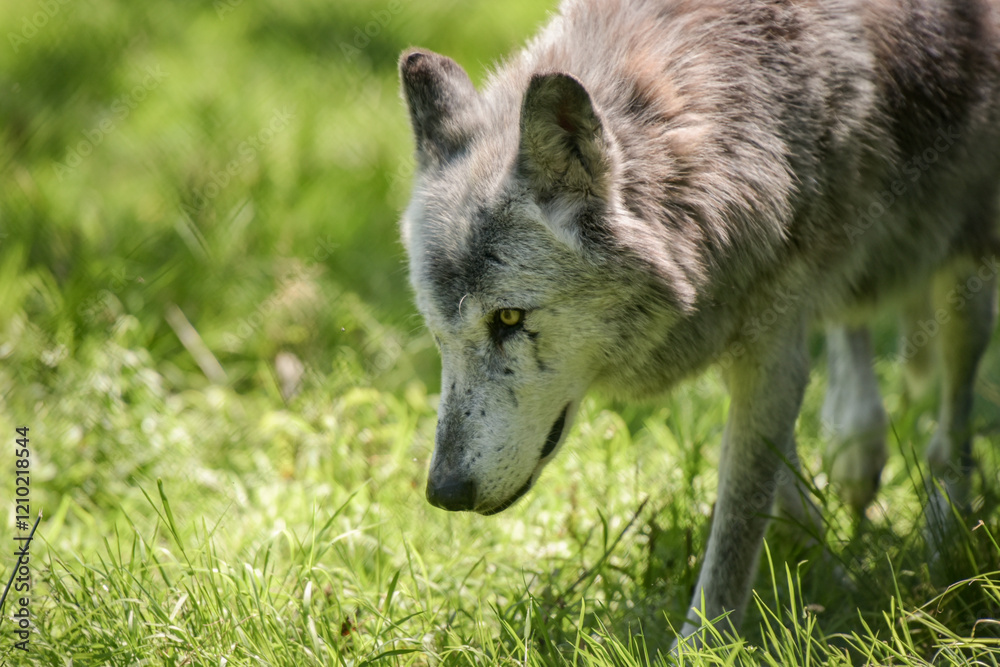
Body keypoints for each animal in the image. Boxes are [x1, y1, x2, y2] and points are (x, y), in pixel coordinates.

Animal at [398, 0, 1000, 646]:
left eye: (508, 317)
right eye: (439, 333)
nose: (444, 493)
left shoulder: (773, 349)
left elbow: (736, 528)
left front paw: (704, 646)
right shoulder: (751, 326)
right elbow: (775, 487)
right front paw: (826, 565)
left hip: (965, 267)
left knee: (954, 417)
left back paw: (946, 533)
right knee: (853, 335)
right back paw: (857, 450)